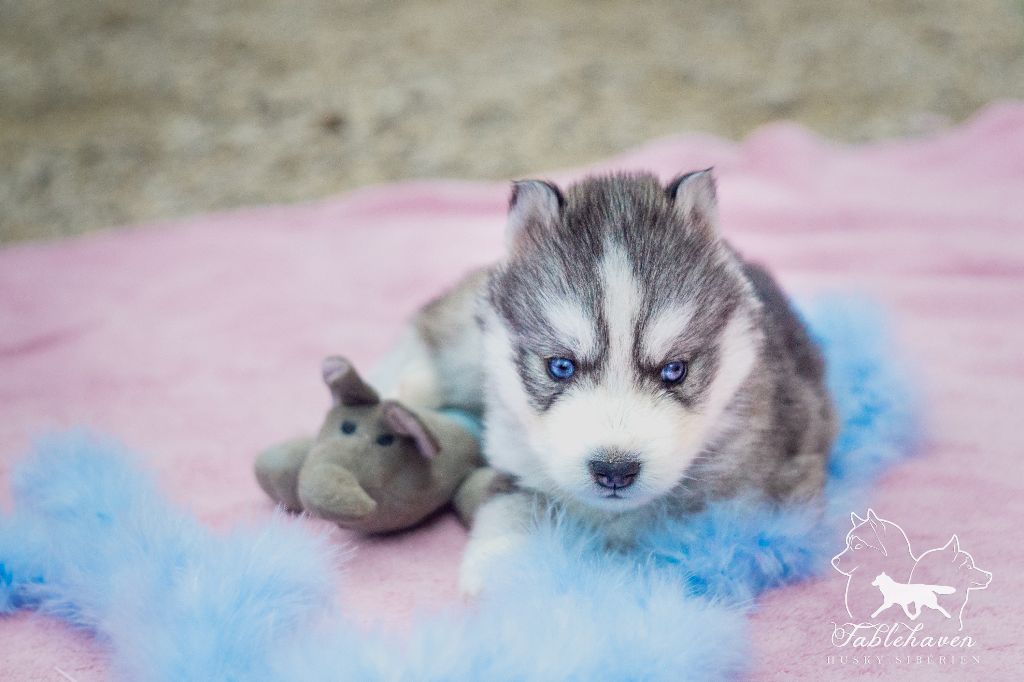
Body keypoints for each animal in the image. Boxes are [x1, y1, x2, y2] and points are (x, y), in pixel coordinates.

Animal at [372, 170, 838, 595]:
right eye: (561, 367)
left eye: (674, 370)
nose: (614, 471)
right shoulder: (517, 464)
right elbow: (511, 504)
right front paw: (503, 569)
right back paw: (400, 389)